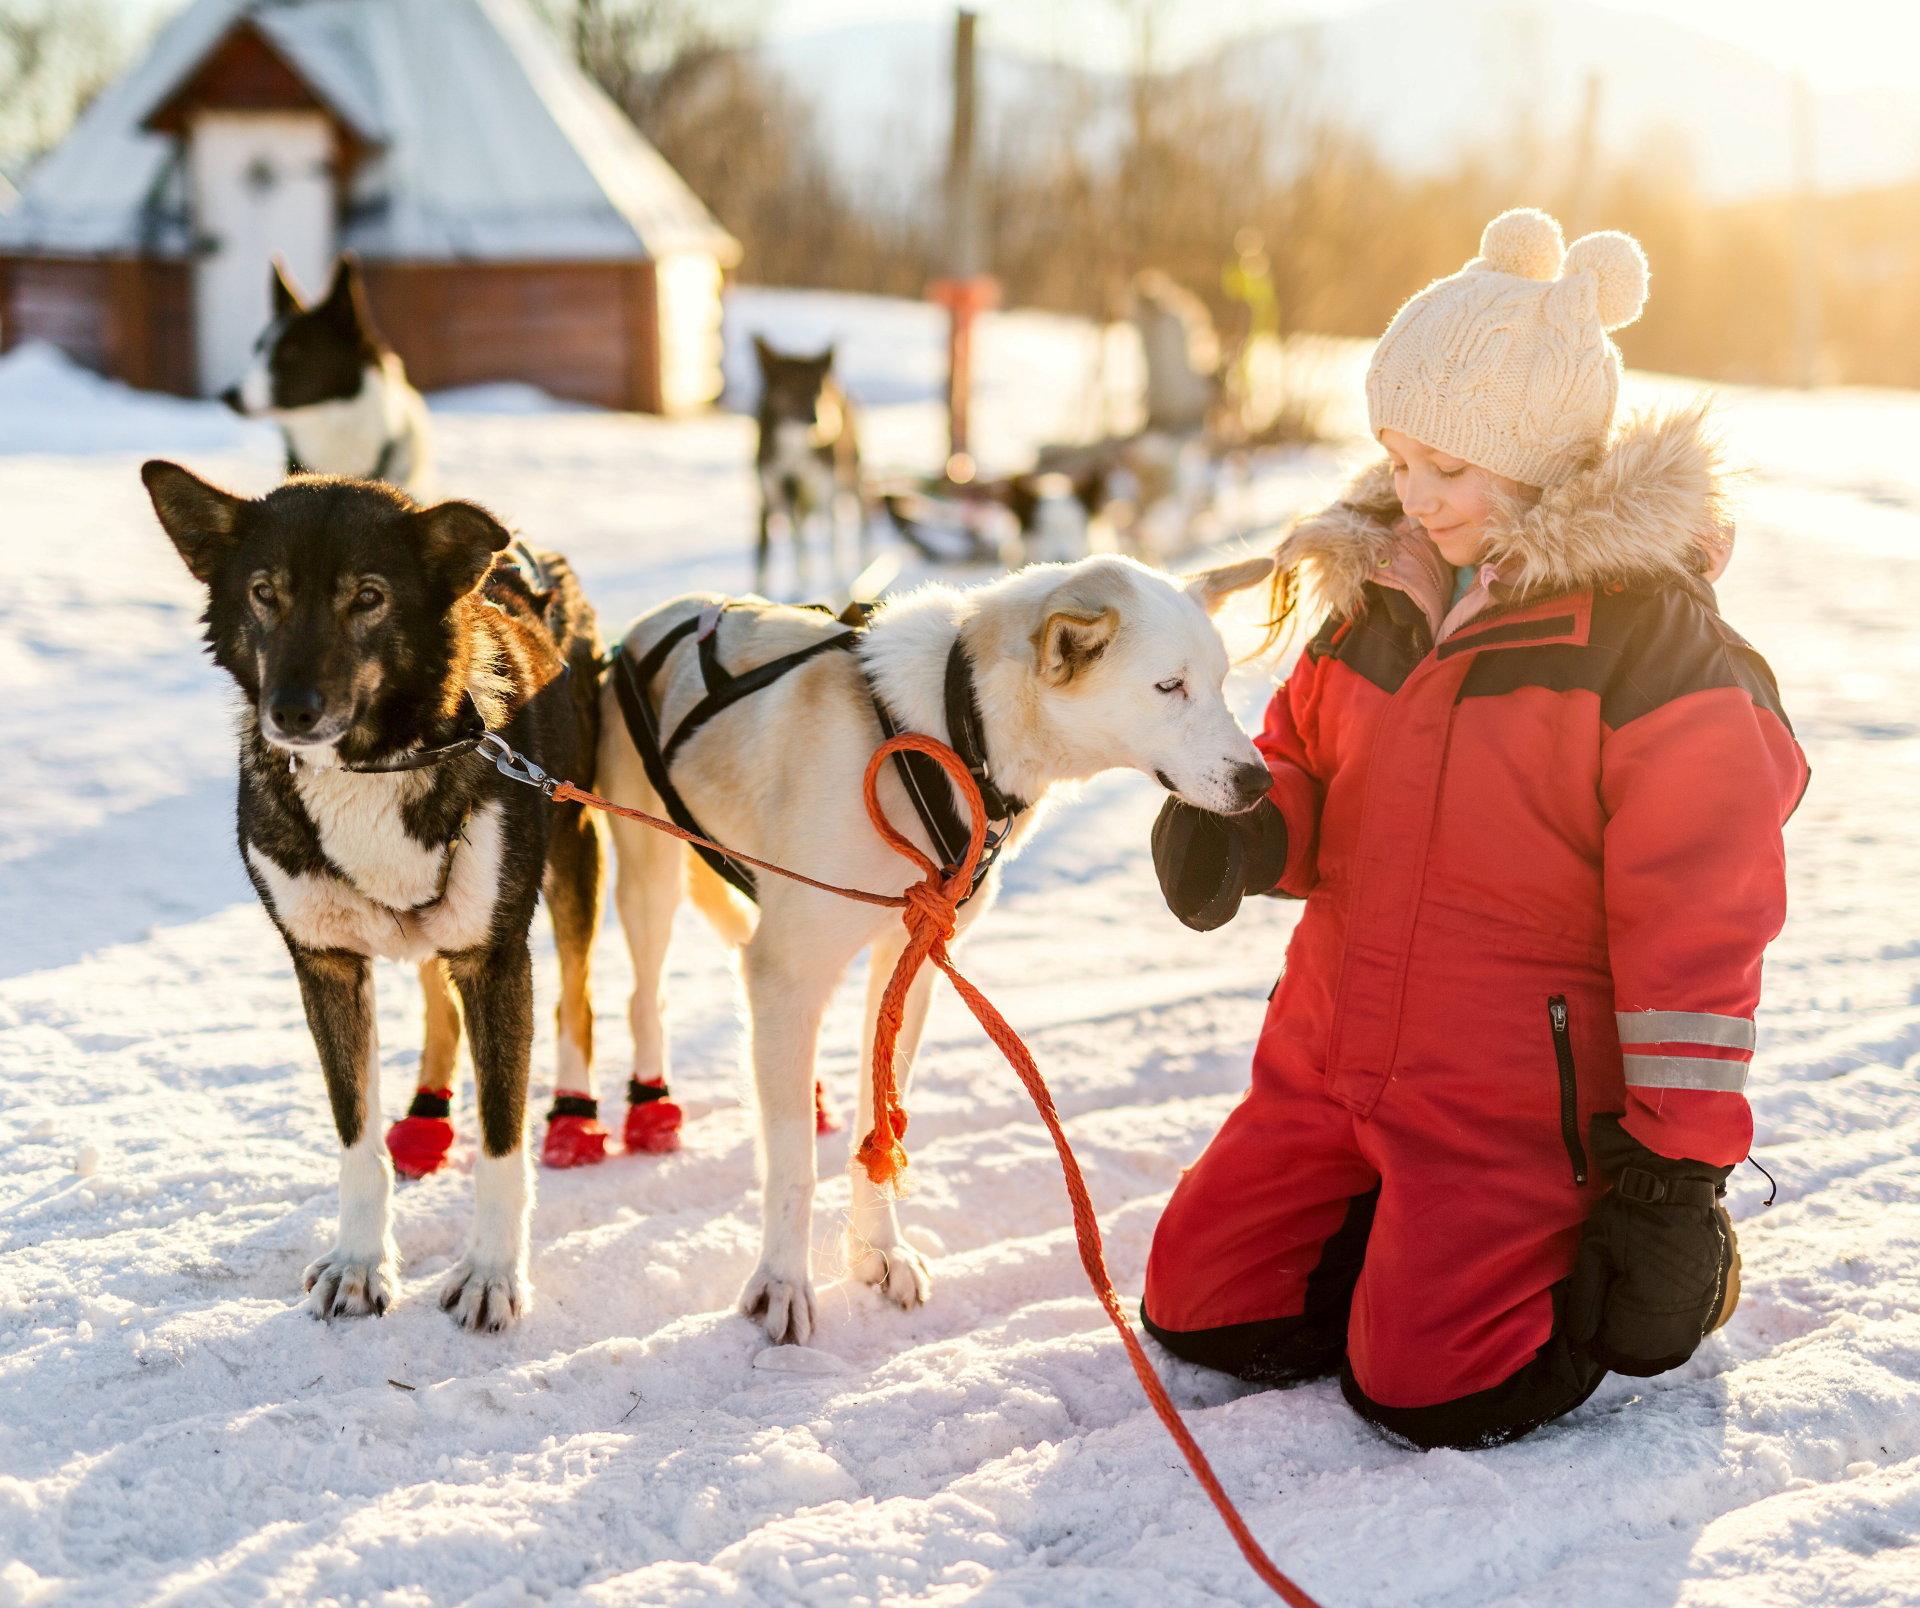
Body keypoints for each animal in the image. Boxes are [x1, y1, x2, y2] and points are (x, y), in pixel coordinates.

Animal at [143, 462, 602, 1335]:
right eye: (264, 592)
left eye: (368, 596)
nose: (291, 711)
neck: (373, 766)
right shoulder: (325, 965)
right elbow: (356, 1137)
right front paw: (360, 1263)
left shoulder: (495, 960)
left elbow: (501, 1145)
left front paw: (491, 1274)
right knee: (436, 1004)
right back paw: (425, 1115)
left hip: (575, 861)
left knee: (579, 1003)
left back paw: (576, 1112)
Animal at [591, 552, 1267, 1350]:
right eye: (1169, 686)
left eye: (1221, 680)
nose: (1260, 780)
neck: (949, 733)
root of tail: (658, 616)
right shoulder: (787, 970)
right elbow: (792, 1163)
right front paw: (783, 1280)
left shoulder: (908, 961)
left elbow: (878, 1118)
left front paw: (879, 1250)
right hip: (651, 876)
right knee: (647, 996)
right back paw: (653, 1104)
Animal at [752, 337, 867, 598]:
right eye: (792, 386)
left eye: (819, 390)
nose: (817, 419)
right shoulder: (774, 489)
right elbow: (780, 550)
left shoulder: (822, 485)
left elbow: (823, 546)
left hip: (849, 476)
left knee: (858, 522)